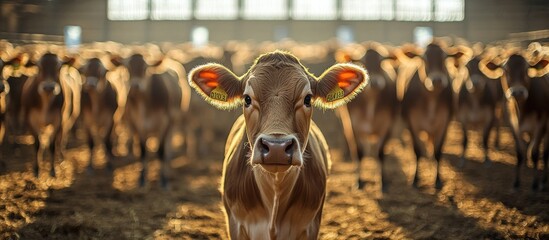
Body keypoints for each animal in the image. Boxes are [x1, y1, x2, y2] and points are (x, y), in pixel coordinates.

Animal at [111, 52, 188, 188]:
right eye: (128, 68)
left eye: (145, 69)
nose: (135, 86)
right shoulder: (137, 125)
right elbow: (142, 151)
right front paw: (141, 179)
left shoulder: (164, 123)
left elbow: (161, 151)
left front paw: (164, 180)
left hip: (173, 122)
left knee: (167, 148)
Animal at [398, 42, 454, 189]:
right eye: (424, 59)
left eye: (445, 58)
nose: (437, 80)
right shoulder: (411, 123)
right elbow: (417, 150)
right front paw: (415, 179)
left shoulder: (445, 123)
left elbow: (438, 151)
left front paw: (438, 180)